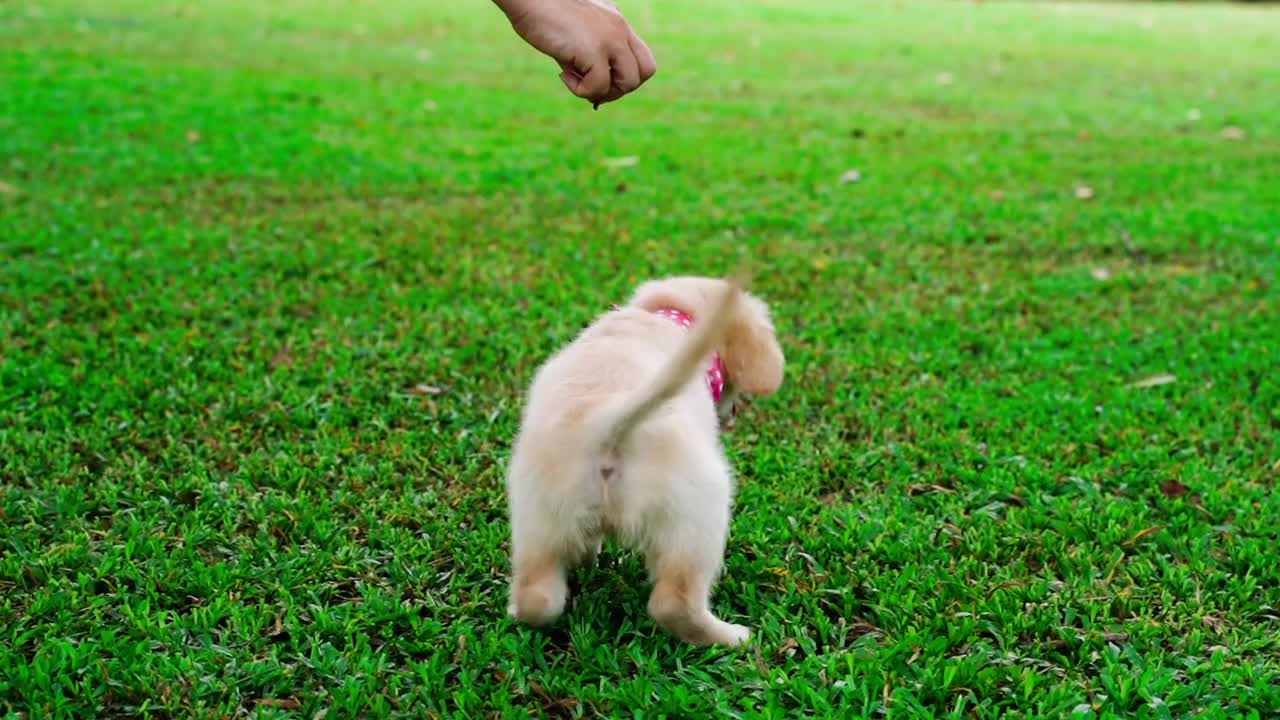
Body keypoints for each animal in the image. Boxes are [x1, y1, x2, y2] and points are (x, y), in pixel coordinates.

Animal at [499, 274, 778, 645]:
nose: (732, 415)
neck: (677, 317)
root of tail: (606, 421)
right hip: (698, 512)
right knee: (674, 603)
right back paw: (734, 637)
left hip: (539, 519)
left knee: (539, 596)